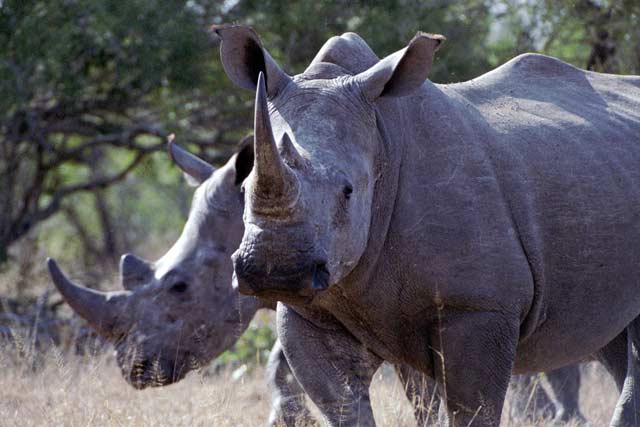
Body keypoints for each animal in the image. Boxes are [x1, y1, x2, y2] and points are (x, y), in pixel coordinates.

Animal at [220, 24, 640, 427]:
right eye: (243, 188)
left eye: (348, 190)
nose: (274, 270)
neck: (381, 136)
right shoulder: (311, 312)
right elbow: (342, 406)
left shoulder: (479, 305)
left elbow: (470, 410)